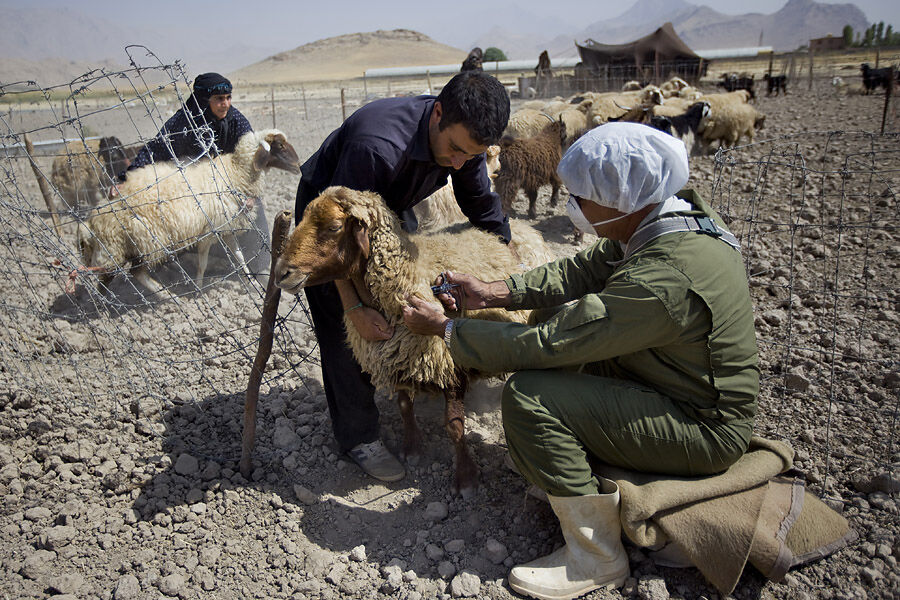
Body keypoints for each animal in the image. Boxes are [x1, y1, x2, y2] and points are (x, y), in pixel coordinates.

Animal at [76, 129, 300, 292]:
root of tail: (92, 224)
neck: (234, 173)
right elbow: (203, 263)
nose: (299, 166)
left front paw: (251, 282)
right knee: (129, 274)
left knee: (115, 277)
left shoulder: (226, 227)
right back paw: (162, 295)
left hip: (127, 247)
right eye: (280, 146)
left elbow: (239, 256)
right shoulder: (208, 232)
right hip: (141, 242)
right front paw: (198, 289)